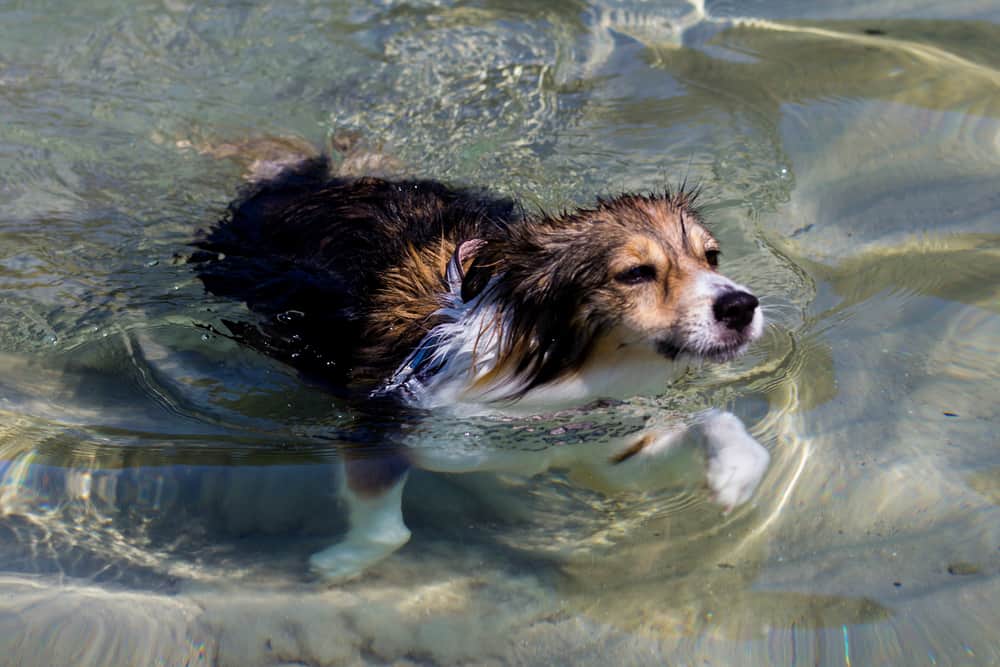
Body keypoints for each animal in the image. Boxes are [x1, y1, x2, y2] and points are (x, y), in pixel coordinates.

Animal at [193, 149, 772, 580]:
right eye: (635, 273)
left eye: (712, 257)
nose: (741, 306)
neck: (555, 380)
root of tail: (314, 184)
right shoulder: (385, 429)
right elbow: (388, 530)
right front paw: (340, 564)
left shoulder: (605, 451)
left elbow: (712, 422)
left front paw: (736, 471)